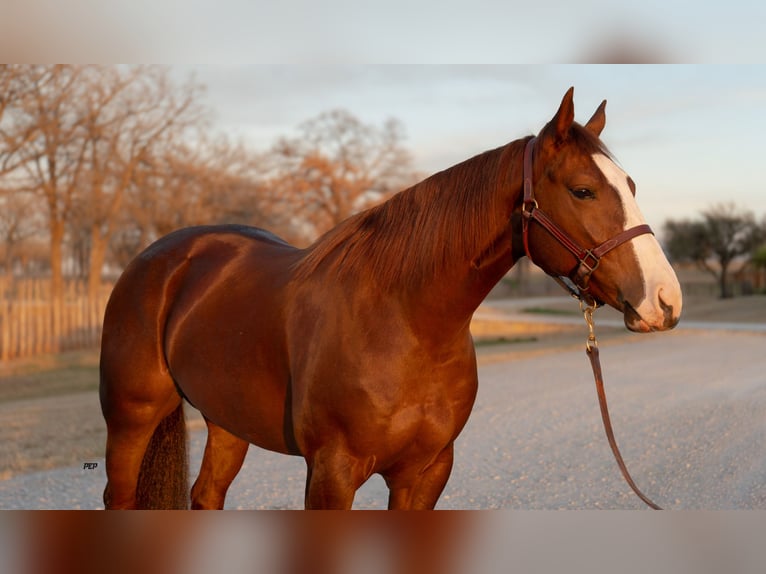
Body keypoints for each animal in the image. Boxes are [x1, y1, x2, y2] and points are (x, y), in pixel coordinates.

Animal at [99, 87, 682, 509]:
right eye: (583, 190)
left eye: (631, 185)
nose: (666, 300)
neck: (406, 324)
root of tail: (162, 256)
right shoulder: (331, 474)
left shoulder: (426, 472)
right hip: (130, 419)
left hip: (226, 420)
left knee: (206, 496)